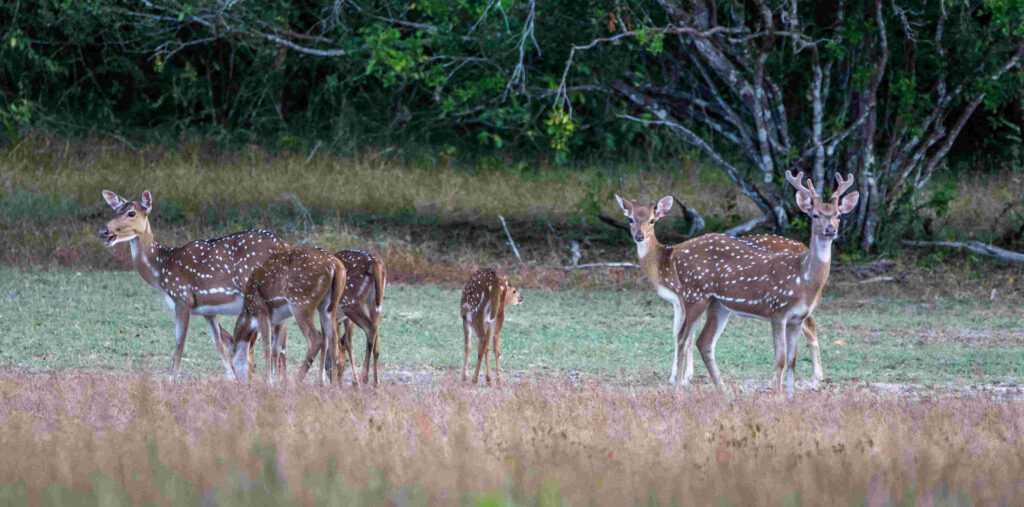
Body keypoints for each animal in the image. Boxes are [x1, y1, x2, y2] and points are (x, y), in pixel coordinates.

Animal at [97, 191, 290, 381]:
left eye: (131, 213)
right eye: (115, 211)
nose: (103, 231)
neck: (161, 269)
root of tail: (285, 245)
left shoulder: (182, 297)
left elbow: (179, 342)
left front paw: (171, 380)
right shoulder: (208, 309)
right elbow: (219, 343)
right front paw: (232, 379)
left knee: (273, 341)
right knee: (279, 341)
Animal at [228, 245, 352, 385]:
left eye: (232, 365)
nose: (242, 384)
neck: (249, 313)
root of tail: (335, 266)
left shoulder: (261, 311)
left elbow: (267, 346)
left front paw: (269, 383)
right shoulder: (282, 319)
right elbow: (276, 349)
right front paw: (277, 382)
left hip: (300, 302)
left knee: (316, 339)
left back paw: (296, 381)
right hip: (328, 305)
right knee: (333, 340)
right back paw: (332, 385)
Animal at [614, 173, 856, 399]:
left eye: (838, 215)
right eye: (815, 215)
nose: (831, 230)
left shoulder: (794, 317)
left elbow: (791, 359)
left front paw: (790, 397)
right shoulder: (777, 310)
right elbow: (780, 358)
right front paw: (778, 397)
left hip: (715, 304)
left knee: (700, 340)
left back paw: (721, 390)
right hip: (696, 296)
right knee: (686, 338)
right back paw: (682, 390)